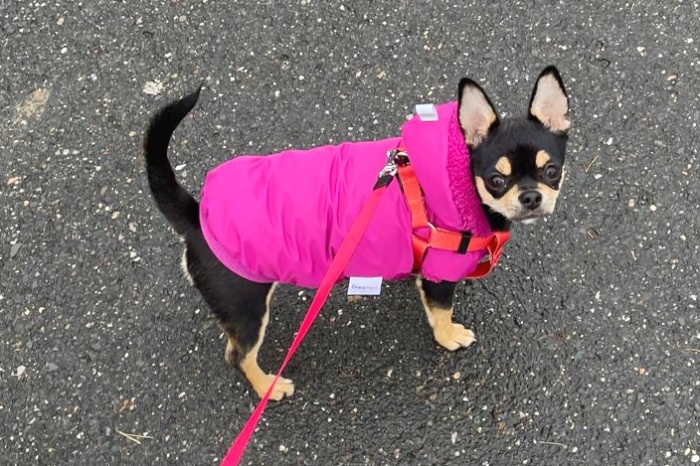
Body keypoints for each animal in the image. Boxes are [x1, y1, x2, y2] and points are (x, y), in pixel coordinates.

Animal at [143, 66, 569, 401]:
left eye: (552, 171)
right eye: (496, 180)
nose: (531, 196)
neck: (456, 179)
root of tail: (197, 218)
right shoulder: (441, 275)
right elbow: (442, 312)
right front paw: (449, 337)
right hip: (247, 308)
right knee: (238, 356)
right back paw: (269, 386)